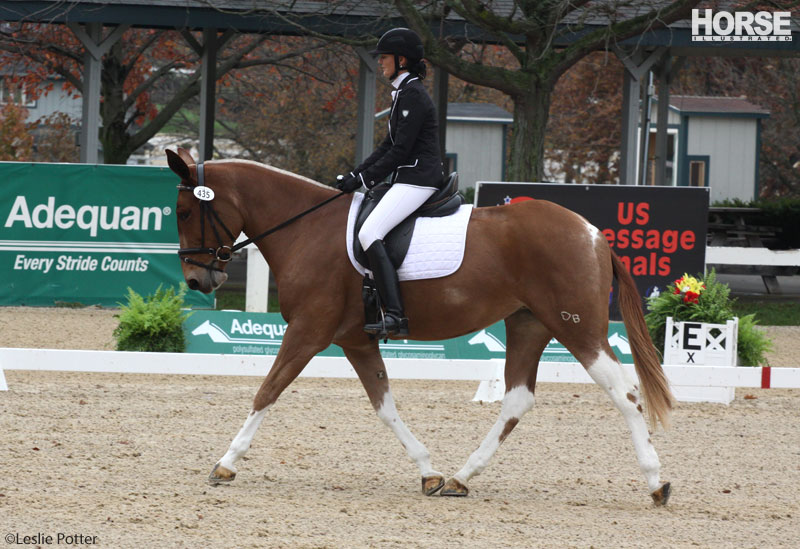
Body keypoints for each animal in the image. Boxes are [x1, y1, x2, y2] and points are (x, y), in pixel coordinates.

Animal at [169, 147, 676, 506]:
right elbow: (384, 406)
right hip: (529, 324)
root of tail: (593, 233)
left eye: (184, 212)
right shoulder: (355, 341)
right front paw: (428, 471)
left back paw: (656, 482)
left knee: (625, 392)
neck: (307, 229)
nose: (197, 280)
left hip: (578, 328)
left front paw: (226, 464)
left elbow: (267, 391)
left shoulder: (308, 332)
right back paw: (460, 478)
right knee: (517, 399)